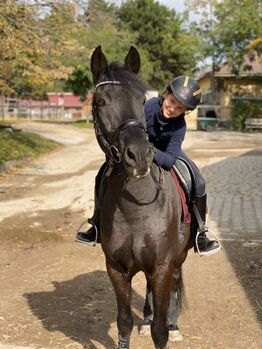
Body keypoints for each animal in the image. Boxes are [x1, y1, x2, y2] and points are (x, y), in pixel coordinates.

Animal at [91, 46, 191, 348]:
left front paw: (166, 327)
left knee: (174, 286)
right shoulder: (115, 269)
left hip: (178, 258)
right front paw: (142, 323)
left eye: (141, 99)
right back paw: (146, 320)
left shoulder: (162, 266)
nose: (139, 156)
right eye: (100, 101)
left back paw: (174, 324)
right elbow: (124, 322)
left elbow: (160, 331)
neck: (135, 208)